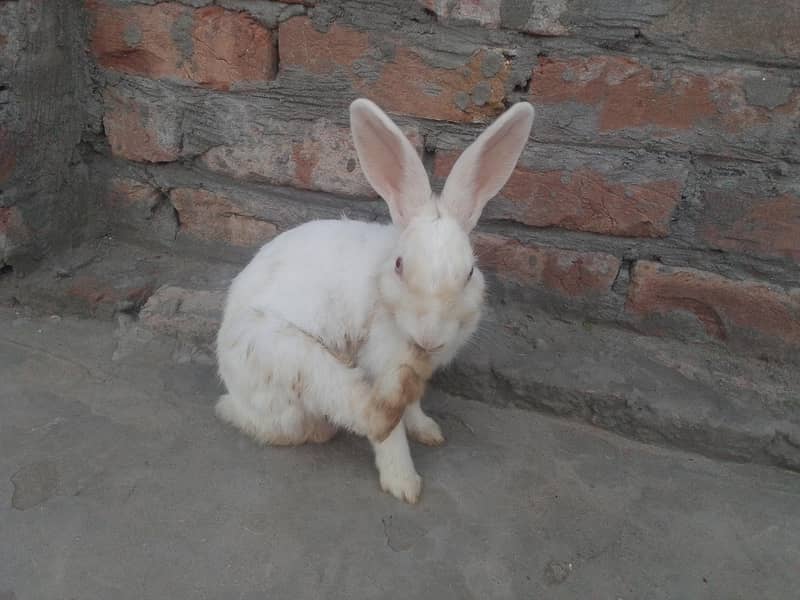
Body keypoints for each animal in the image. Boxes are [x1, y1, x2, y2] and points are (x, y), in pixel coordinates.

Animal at [215, 98, 534, 503]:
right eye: (400, 265)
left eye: (470, 272)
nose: (429, 337)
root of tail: (233, 394)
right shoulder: (382, 360)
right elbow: (392, 433)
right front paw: (404, 483)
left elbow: (413, 405)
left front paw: (427, 430)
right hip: (290, 358)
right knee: (350, 411)